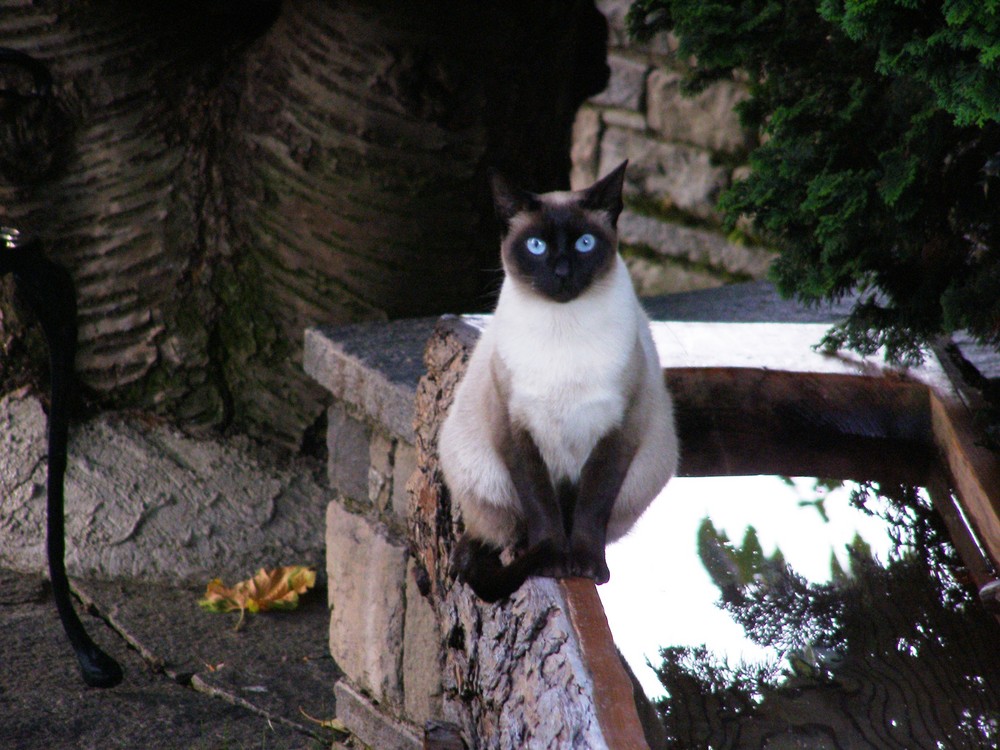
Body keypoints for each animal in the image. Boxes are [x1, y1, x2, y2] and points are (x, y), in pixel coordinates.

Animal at [440, 162, 680, 604]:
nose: (563, 272)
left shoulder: (618, 432)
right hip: (483, 474)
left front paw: (585, 567)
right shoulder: (515, 431)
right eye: (536, 246)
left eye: (585, 243)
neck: (563, 329)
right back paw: (528, 551)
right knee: (500, 532)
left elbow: (590, 508)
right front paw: (552, 563)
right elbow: (541, 507)